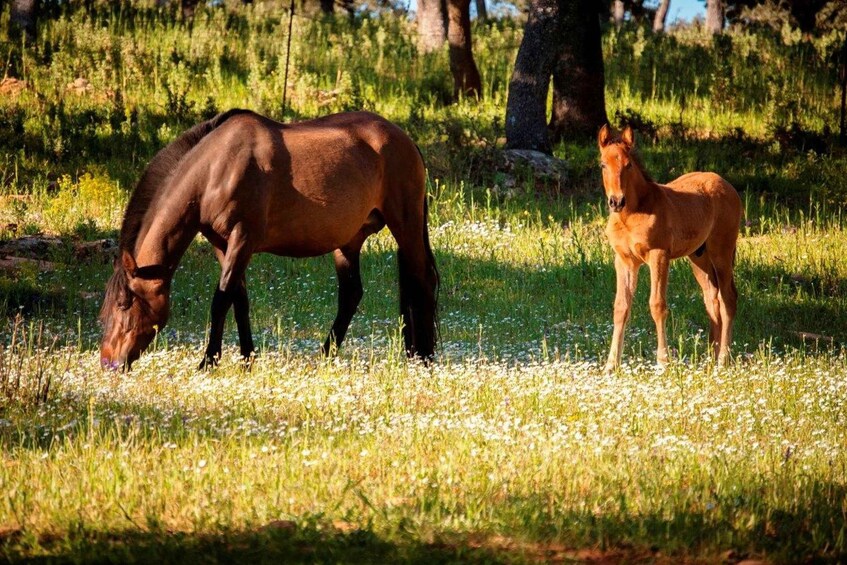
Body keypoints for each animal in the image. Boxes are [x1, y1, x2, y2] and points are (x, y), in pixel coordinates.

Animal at [102, 109, 440, 370]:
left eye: (125, 303)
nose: (108, 362)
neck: (216, 169)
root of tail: (406, 140)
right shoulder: (222, 245)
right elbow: (239, 300)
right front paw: (246, 359)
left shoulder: (243, 239)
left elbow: (220, 300)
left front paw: (208, 362)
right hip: (348, 241)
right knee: (351, 294)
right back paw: (325, 356)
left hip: (405, 224)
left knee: (422, 279)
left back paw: (424, 358)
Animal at [596, 124, 744, 370]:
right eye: (603, 164)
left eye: (628, 165)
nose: (616, 201)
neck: (632, 214)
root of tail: (727, 184)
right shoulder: (624, 260)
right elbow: (621, 307)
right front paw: (610, 365)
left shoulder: (659, 256)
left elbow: (657, 305)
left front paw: (663, 361)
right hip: (698, 258)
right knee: (711, 299)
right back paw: (710, 358)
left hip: (721, 250)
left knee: (728, 298)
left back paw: (723, 358)